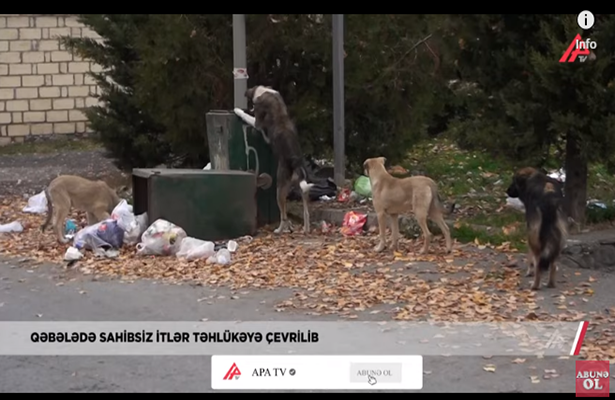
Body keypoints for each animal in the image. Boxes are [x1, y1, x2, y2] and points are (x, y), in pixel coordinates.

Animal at [233, 85, 316, 234]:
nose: (250, 108)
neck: (265, 92)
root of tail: (295, 161)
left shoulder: (257, 122)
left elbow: (247, 117)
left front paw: (237, 110)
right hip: (303, 188)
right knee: (306, 212)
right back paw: (305, 229)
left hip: (279, 189)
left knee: (283, 215)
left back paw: (279, 230)